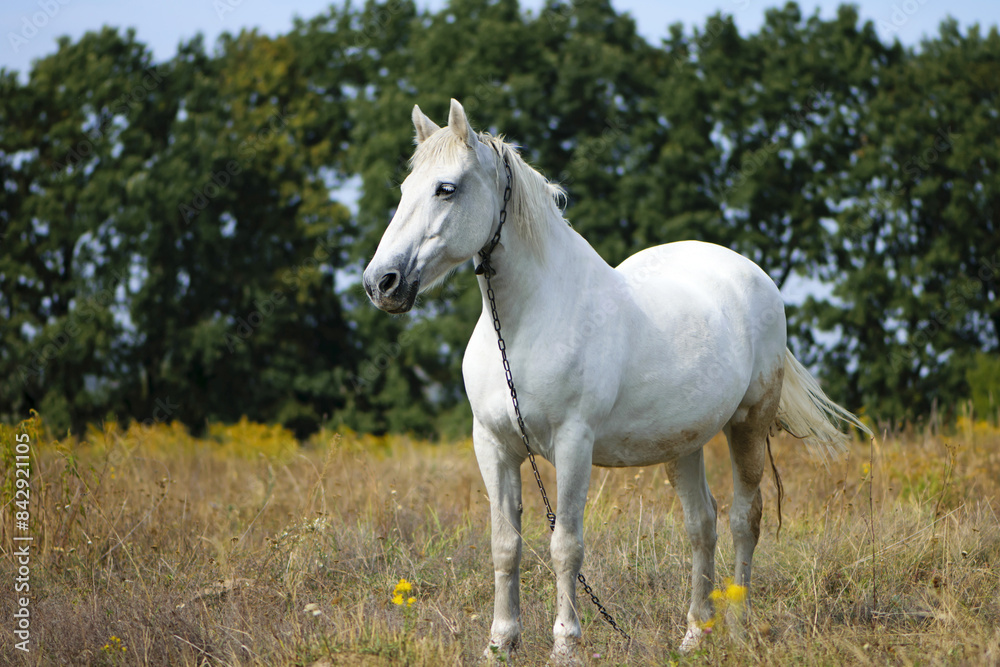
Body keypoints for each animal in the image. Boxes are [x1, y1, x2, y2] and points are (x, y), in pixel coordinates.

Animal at [363, 98, 871, 664]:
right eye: (406, 187)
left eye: (446, 188)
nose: (381, 283)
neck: (528, 322)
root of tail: (753, 276)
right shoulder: (493, 445)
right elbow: (505, 544)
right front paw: (500, 642)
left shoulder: (573, 444)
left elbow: (566, 545)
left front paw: (565, 643)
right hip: (683, 444)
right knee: (703, 524)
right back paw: (695, 634)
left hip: (749, 424)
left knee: (745, 518)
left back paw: (738, 628)